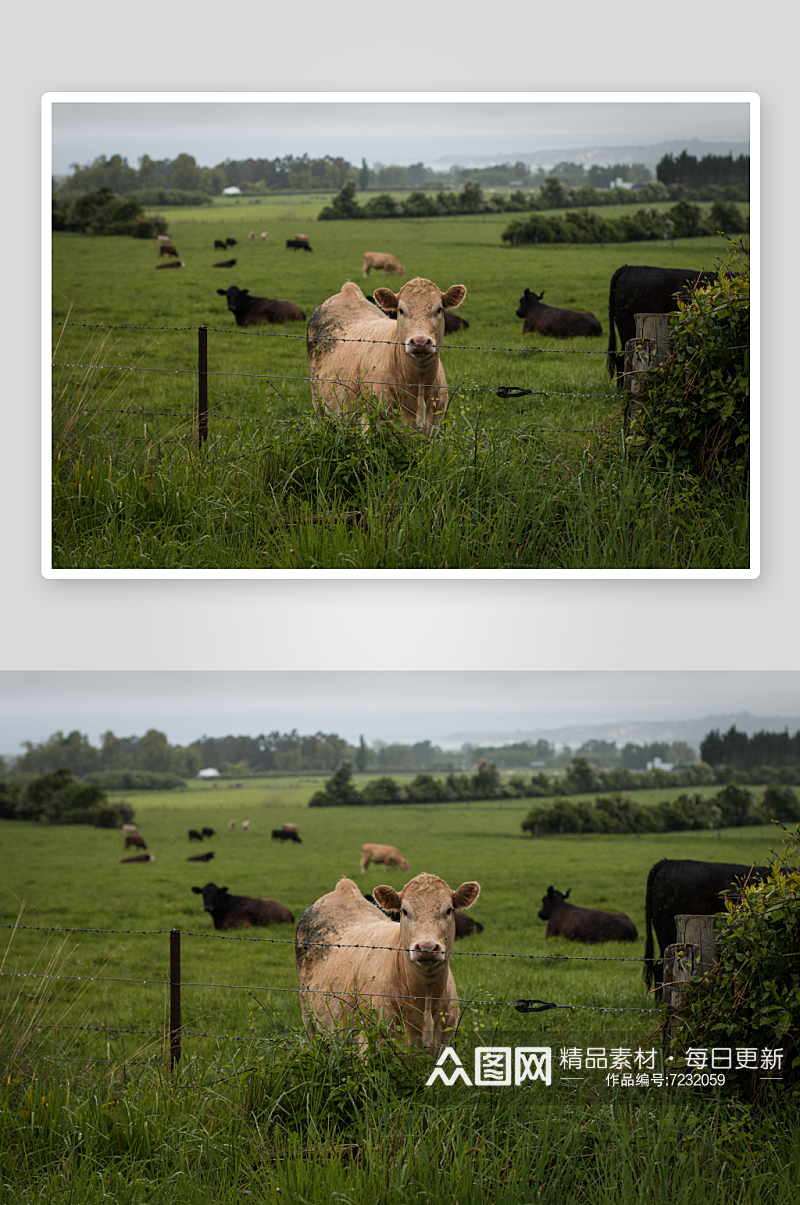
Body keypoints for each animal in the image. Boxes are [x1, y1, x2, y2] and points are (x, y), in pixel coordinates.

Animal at [296, 872, 477, 1050]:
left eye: (448, 910)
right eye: (405, 911)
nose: (427, 947)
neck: (425, 998)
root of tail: (344, 887)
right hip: (307, 1013)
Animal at [307, 277, 469, 433]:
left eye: (439, 309)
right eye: (401, 310)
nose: (420, 341)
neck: (418, 386)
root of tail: (349, 289)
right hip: (317, 400)